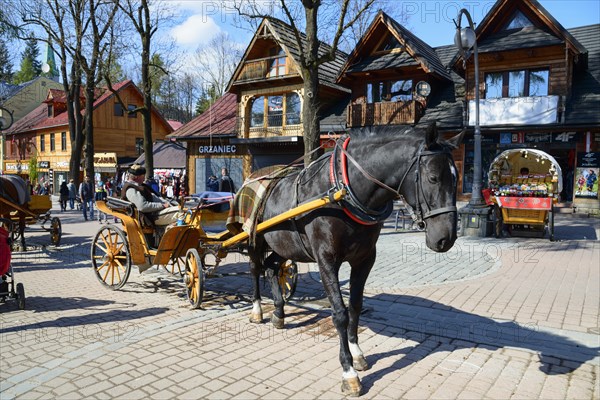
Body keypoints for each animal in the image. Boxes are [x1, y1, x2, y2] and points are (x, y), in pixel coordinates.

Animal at [246, 123, 466, 396]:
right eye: (433, 177)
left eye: (456, 178)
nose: (446, 238)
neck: (342, 192)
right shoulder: (326, 259)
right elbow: (340, 313)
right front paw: (348, 371)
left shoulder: (364, 258)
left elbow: (355, 306)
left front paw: (358, 353)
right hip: (255, 239)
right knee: (255, 269)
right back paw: (257, 309)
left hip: (284, 244)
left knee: (272, 268)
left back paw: (278, 311)